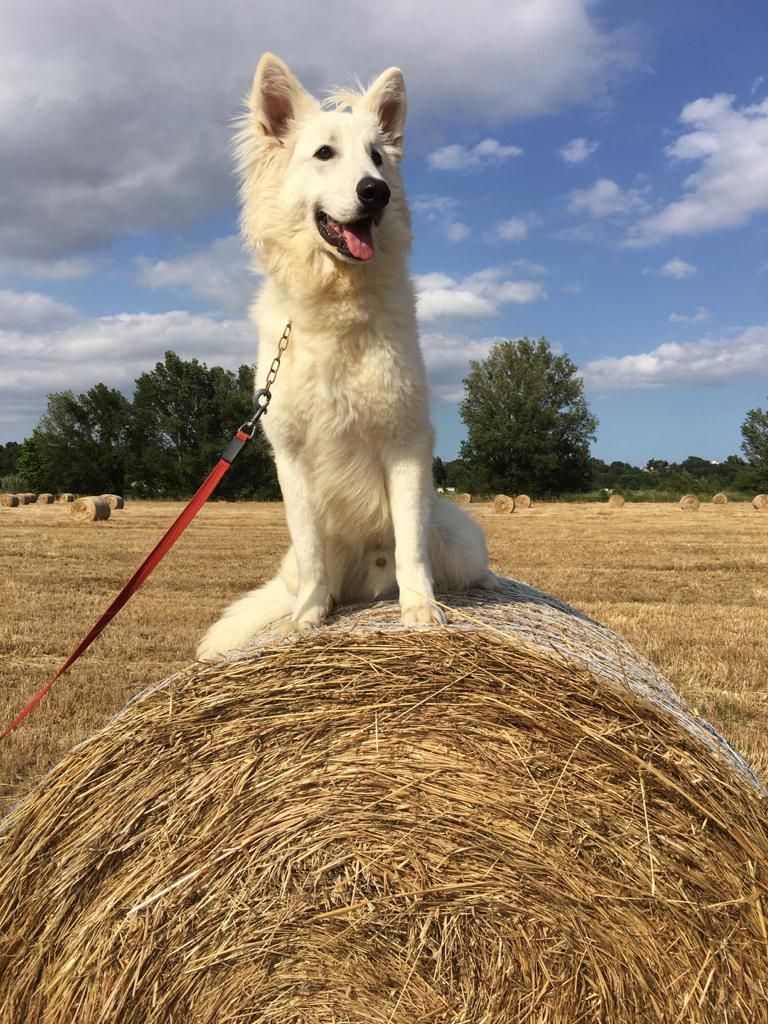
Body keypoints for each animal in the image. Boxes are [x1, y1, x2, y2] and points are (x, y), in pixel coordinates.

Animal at [198, 56, 499, 659]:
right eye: (324, 154)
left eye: (378, 158)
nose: (375, 192)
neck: (337, 306)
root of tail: (366, 582)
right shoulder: (289, 454)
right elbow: (313, 552)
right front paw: (307, 622)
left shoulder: (405, 442)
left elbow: (411, 547)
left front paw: (421, 614)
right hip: (297, 563)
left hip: (461, 539)